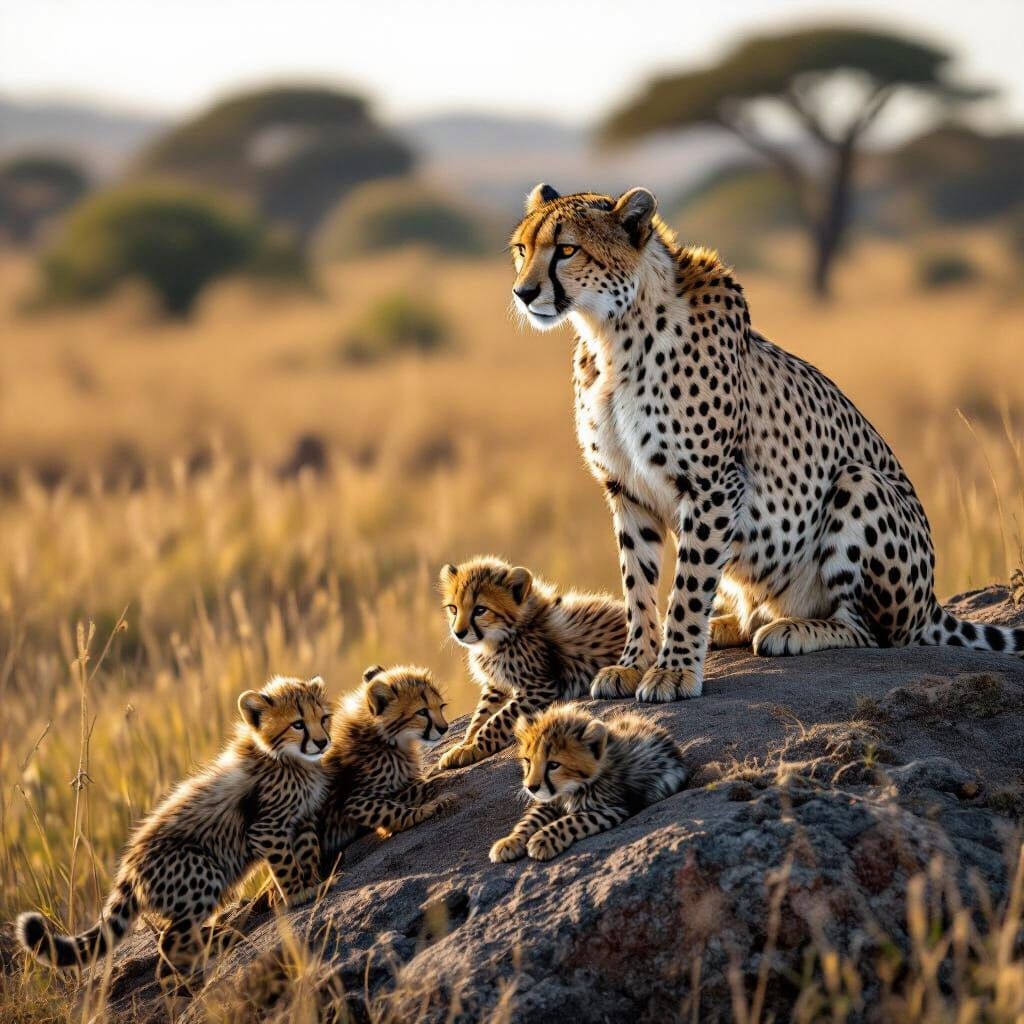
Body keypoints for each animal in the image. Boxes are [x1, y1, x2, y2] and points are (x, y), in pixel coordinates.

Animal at [17, 676, 332, 981]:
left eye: (324, 718)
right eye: (298, 723)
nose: (322, 742)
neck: (286, 757)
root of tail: (129, 868)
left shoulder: (302, 819)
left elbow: (307, 852)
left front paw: (314, 881)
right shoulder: (266, 829)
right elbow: (287, 864)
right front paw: (298, 893)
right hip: (201, 867)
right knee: (168, 943)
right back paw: (212, 948)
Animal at [437, 556, 626, 769]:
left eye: (480, 609)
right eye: (453, 609)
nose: (458, 633)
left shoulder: (540, 687)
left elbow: (498, 720)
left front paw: (474, 748)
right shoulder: (496, 685)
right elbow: (480, 717)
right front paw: (465, 745)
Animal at [489, 703, 688, 862]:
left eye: (553, 765)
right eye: (528, 761)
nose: (531, 788)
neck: (570, 788)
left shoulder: (615, 807)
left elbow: (573, 820)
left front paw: (542, 840)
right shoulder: (549, 802)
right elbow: (529, 820)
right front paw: (509, 842)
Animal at [509, 182, 1024, 703]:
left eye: (567, 249)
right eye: (522, 250)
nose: (523, 292)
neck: (610, 334)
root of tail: (930, 603)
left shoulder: (714, 485)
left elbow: (688, 586)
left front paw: (674, 670)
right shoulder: (627, 490)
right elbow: (638, 586)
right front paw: (635, 662)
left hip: (859, 484)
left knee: (875, 633)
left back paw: (792, 629)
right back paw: (730, 623)